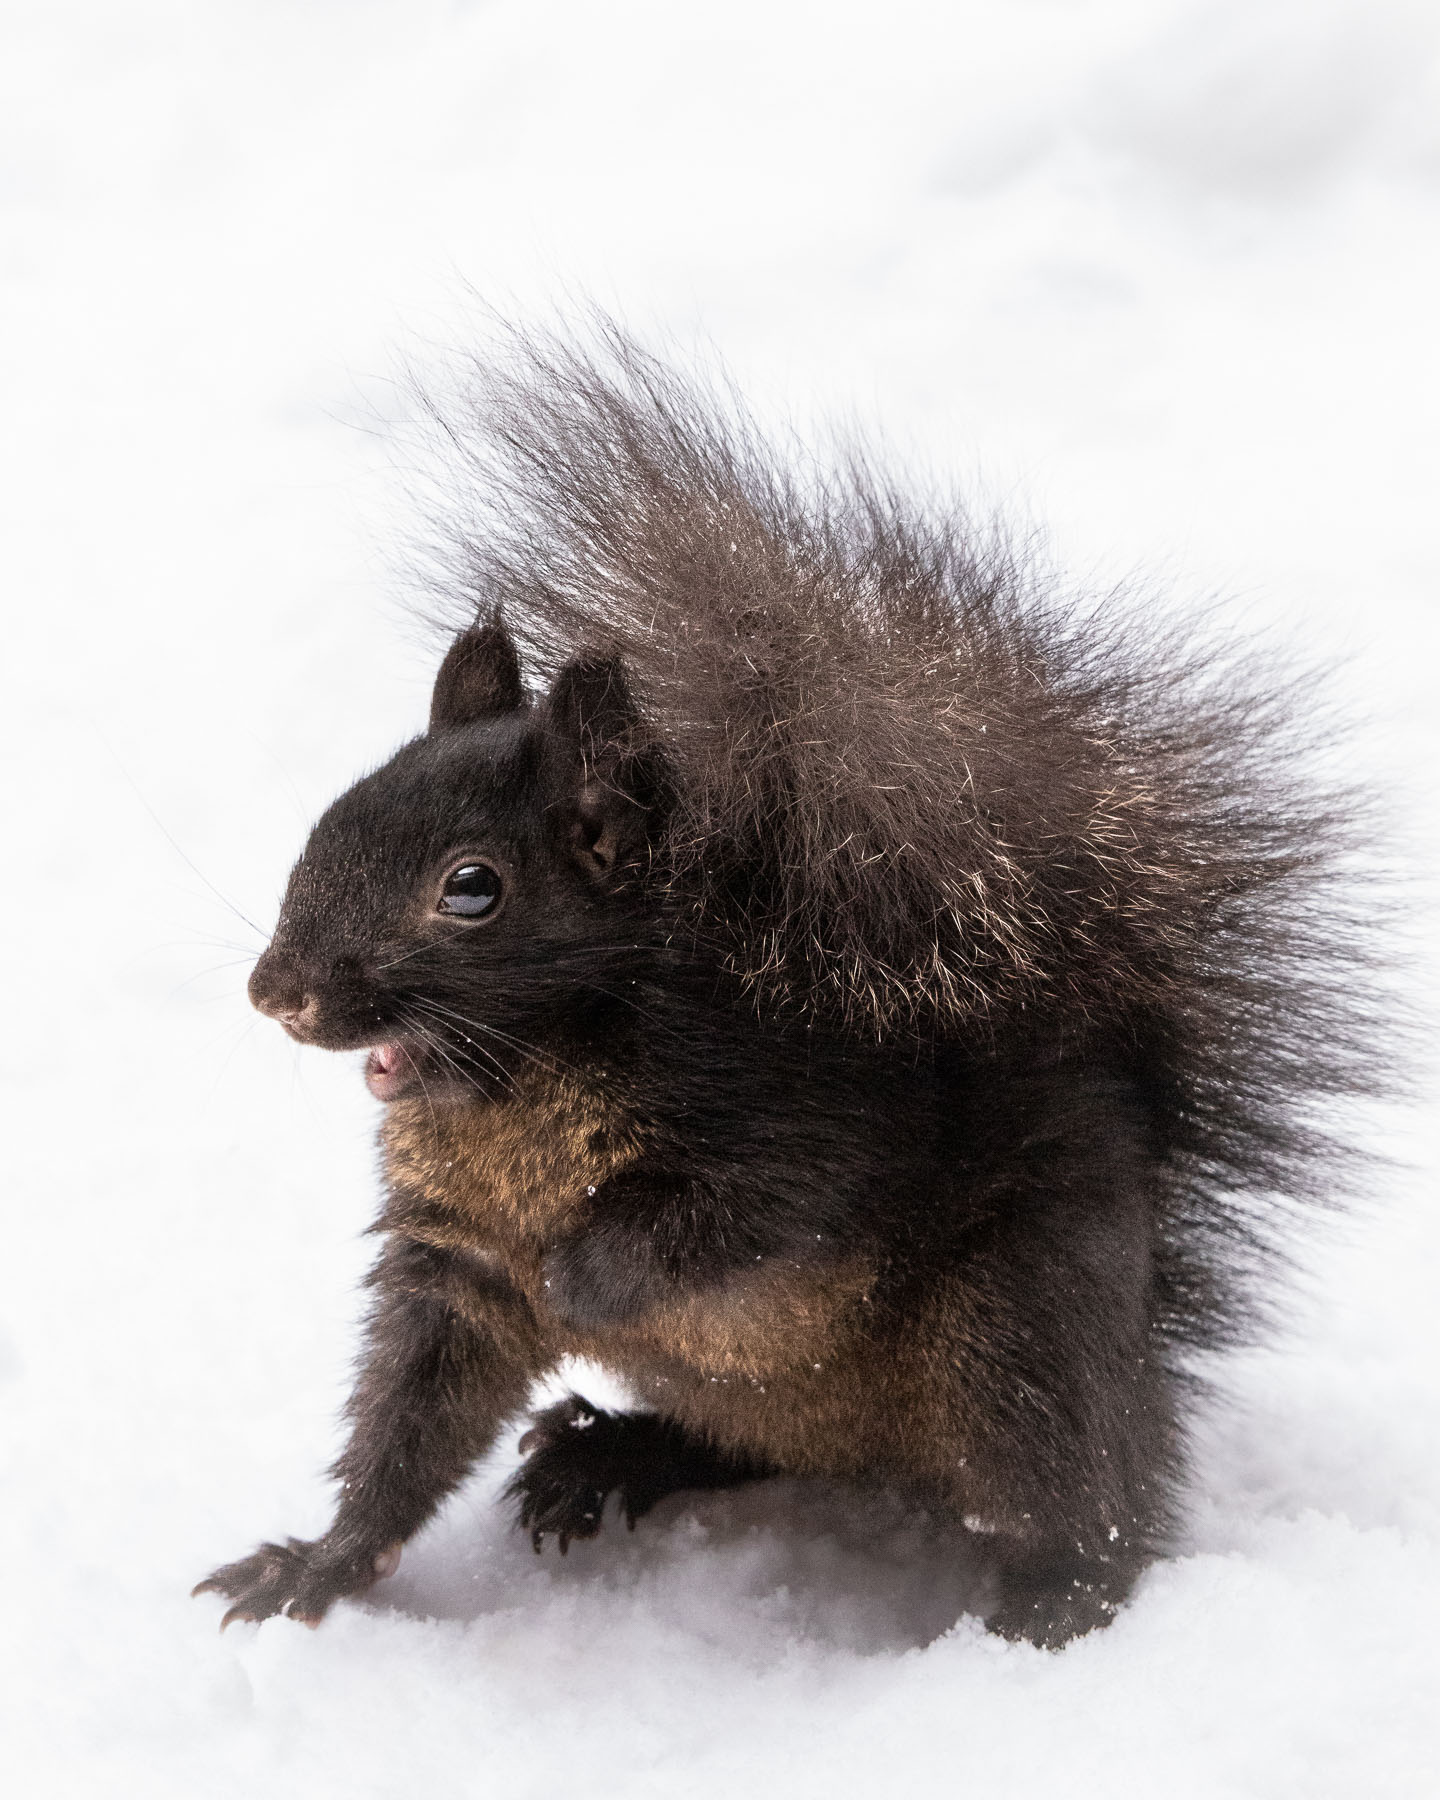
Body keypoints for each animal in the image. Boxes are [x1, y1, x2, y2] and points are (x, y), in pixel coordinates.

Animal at [193, 325, 1383, 1648]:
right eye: (336, 810)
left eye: (471, 888)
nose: (277, 992)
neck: (521, 1084)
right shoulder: (454, 1259)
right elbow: (410, 1417)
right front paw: (321, 1563)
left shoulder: (796, 1110)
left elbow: (744, 1212)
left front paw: (582, 1274)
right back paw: (612, 1456)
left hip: (1014, 1324)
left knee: (1081, 1503)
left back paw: (1040, 1616)